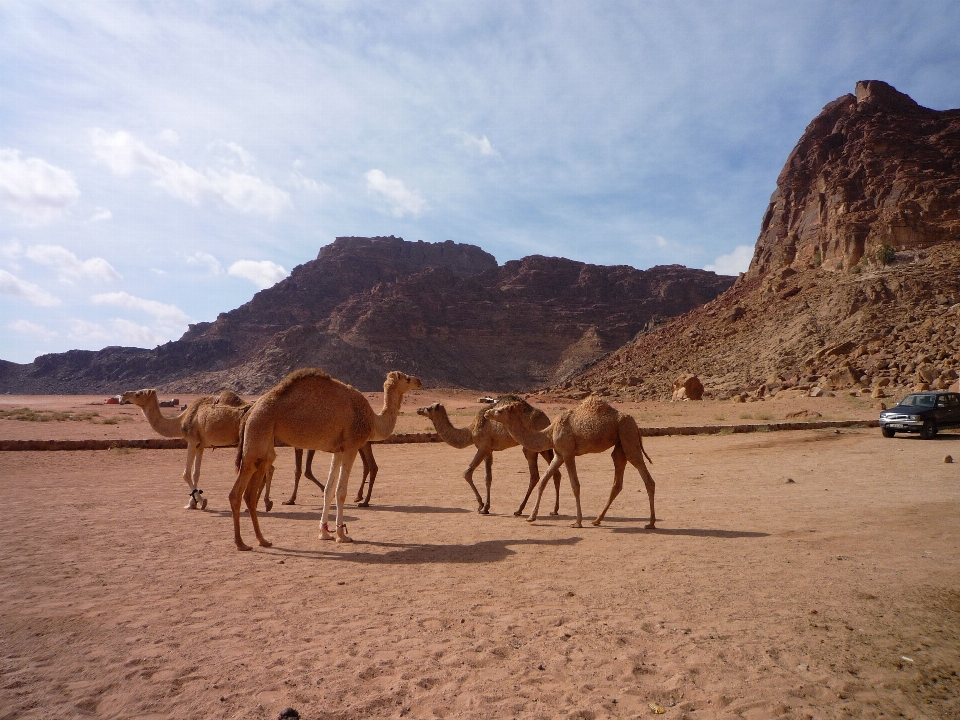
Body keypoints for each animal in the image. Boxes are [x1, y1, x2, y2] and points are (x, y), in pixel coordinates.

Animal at [122, 388, 251, 512]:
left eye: (138, 394)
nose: (124, 395)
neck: (181, 422)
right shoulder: (201, 444)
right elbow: (196, 473)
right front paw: (192, 503)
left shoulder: (192, 441)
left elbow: (186, 474)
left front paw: (201, 502)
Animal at [231, 372, 422, 552]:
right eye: (406, 378)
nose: (419, 381)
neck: (373, 420)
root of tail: (250, 411)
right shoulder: (351, 446)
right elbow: (341, 492)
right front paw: (341, 534)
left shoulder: (338, 451)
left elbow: (329, 490)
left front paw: (324, 532)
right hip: (259, 431)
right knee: (241, 491)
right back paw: (243, 543)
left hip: (263, 439)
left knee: (246, 491)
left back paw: (260, 540)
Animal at [414, 396, 564, 516]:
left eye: (429, 408)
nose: (419, 409)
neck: (471, 430)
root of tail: (546, 419)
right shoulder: (489, 450)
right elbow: (488, 478)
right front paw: (486, 508)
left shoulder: (483, 447)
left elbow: (467, 472)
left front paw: (480, 505)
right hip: (544, 446)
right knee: (555, 473)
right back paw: (554, 510)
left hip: (531, 446)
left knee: (534, 475)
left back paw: (519, 510)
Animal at [484, 394, 656, 528]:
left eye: (500, 410)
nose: (487, 413)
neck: (549, 432)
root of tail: (634, 422)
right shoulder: (559, 455)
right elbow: (544, 481)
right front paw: (531, 517)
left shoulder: (568, 453)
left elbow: (575, 485)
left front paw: (577, 522)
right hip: (620, 443)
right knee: (617, 479)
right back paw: (597, 520)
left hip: (628, 434)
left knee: (646, 477)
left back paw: (651, 523)